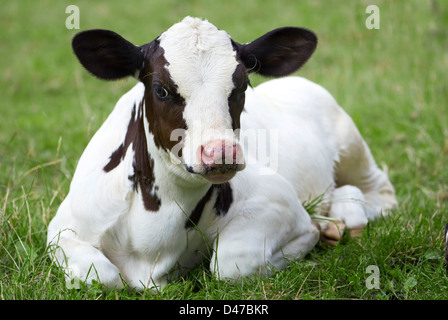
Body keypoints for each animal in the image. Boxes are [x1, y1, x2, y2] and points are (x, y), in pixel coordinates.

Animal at [47, 16, 398, 288]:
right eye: (161, 89)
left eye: (241, 86)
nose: (220, 153)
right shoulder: (62, 228)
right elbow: (101, 275)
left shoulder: (278, 201)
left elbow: (230, 263)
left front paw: (315, 234)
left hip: (352, 145)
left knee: (380, 193)